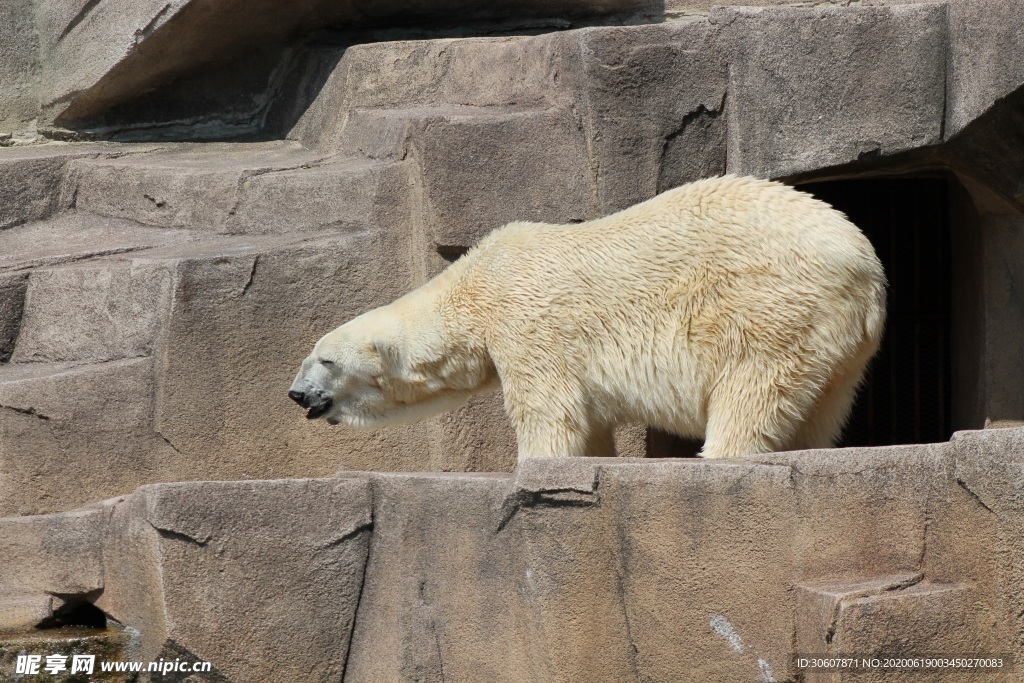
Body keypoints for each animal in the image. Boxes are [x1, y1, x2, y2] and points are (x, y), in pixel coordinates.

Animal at [290, 175, 888, 458]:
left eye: (325, 360)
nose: (296, 394)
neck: (476, 286)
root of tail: (867, 268)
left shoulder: (528, 325)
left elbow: (549, 415)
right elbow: (591, 426)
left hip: (769, 305)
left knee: (752, 390)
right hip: (836, 344)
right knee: (819, 408)